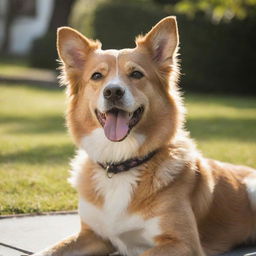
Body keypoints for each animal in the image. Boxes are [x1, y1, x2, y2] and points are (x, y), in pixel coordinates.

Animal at [34, 16, 256, 256]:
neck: (120, 164)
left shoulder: (183, 243)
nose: (113, 91)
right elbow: (47, 251)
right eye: (97, 76)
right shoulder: (93, 236)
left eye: (136, 74)